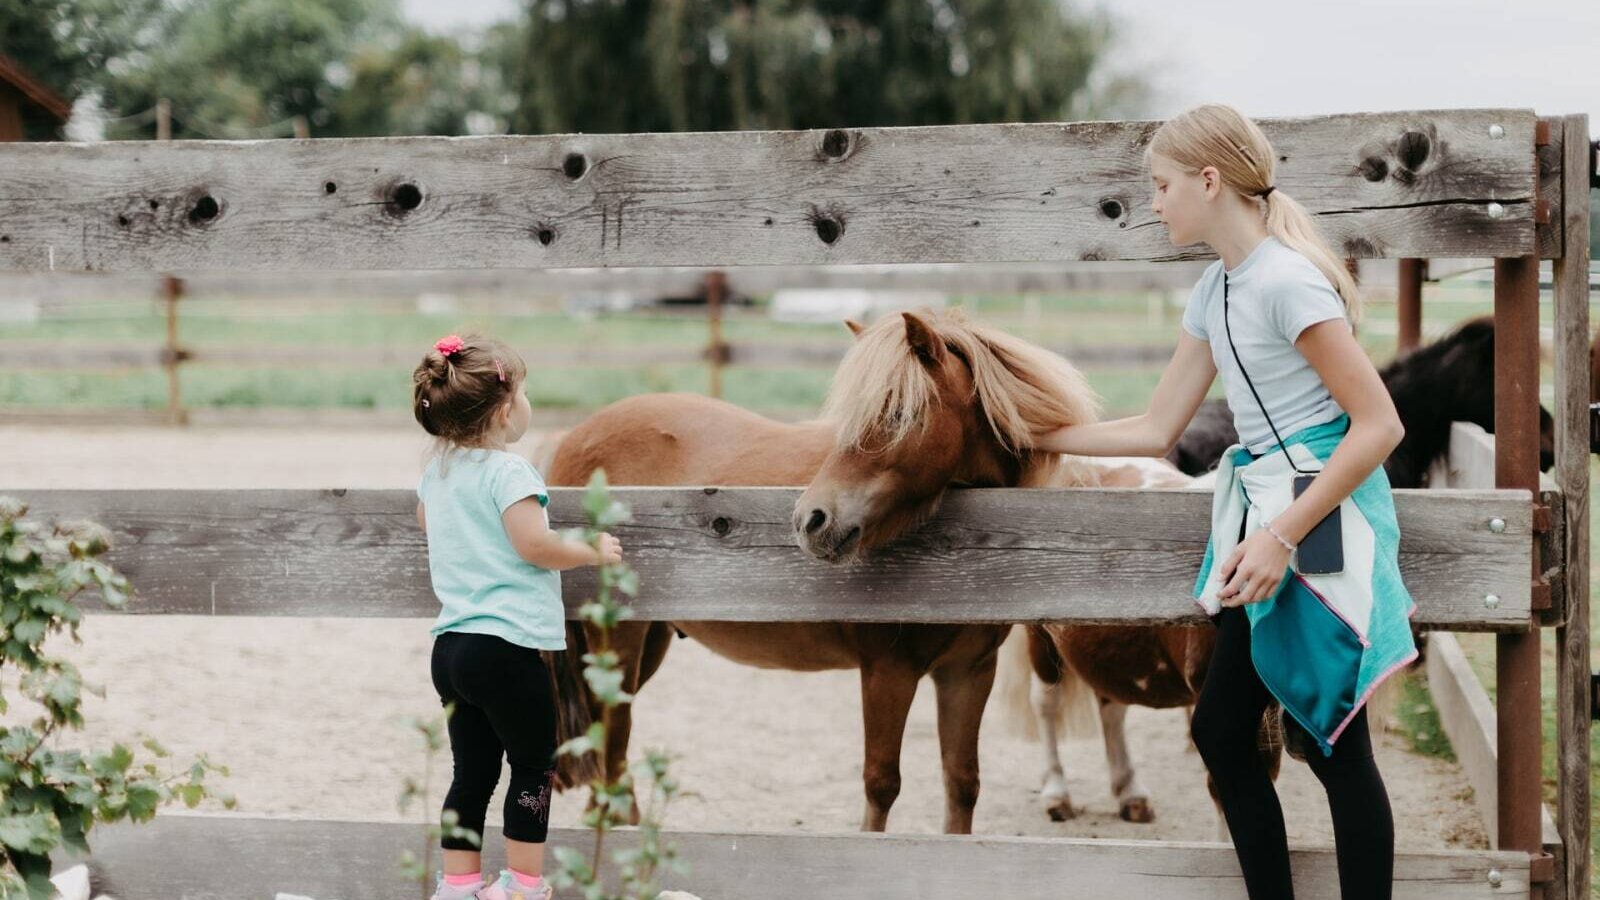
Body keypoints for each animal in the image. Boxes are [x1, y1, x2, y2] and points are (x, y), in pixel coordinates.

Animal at [547, 307, 1101, 833]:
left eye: (899, 413)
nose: (811, 520)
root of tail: (572, 441)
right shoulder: (887, 671)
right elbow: (881, 785)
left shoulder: (967, 672)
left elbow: (962, 784)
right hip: (617, 643)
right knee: (612, 741)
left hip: (646, 646)